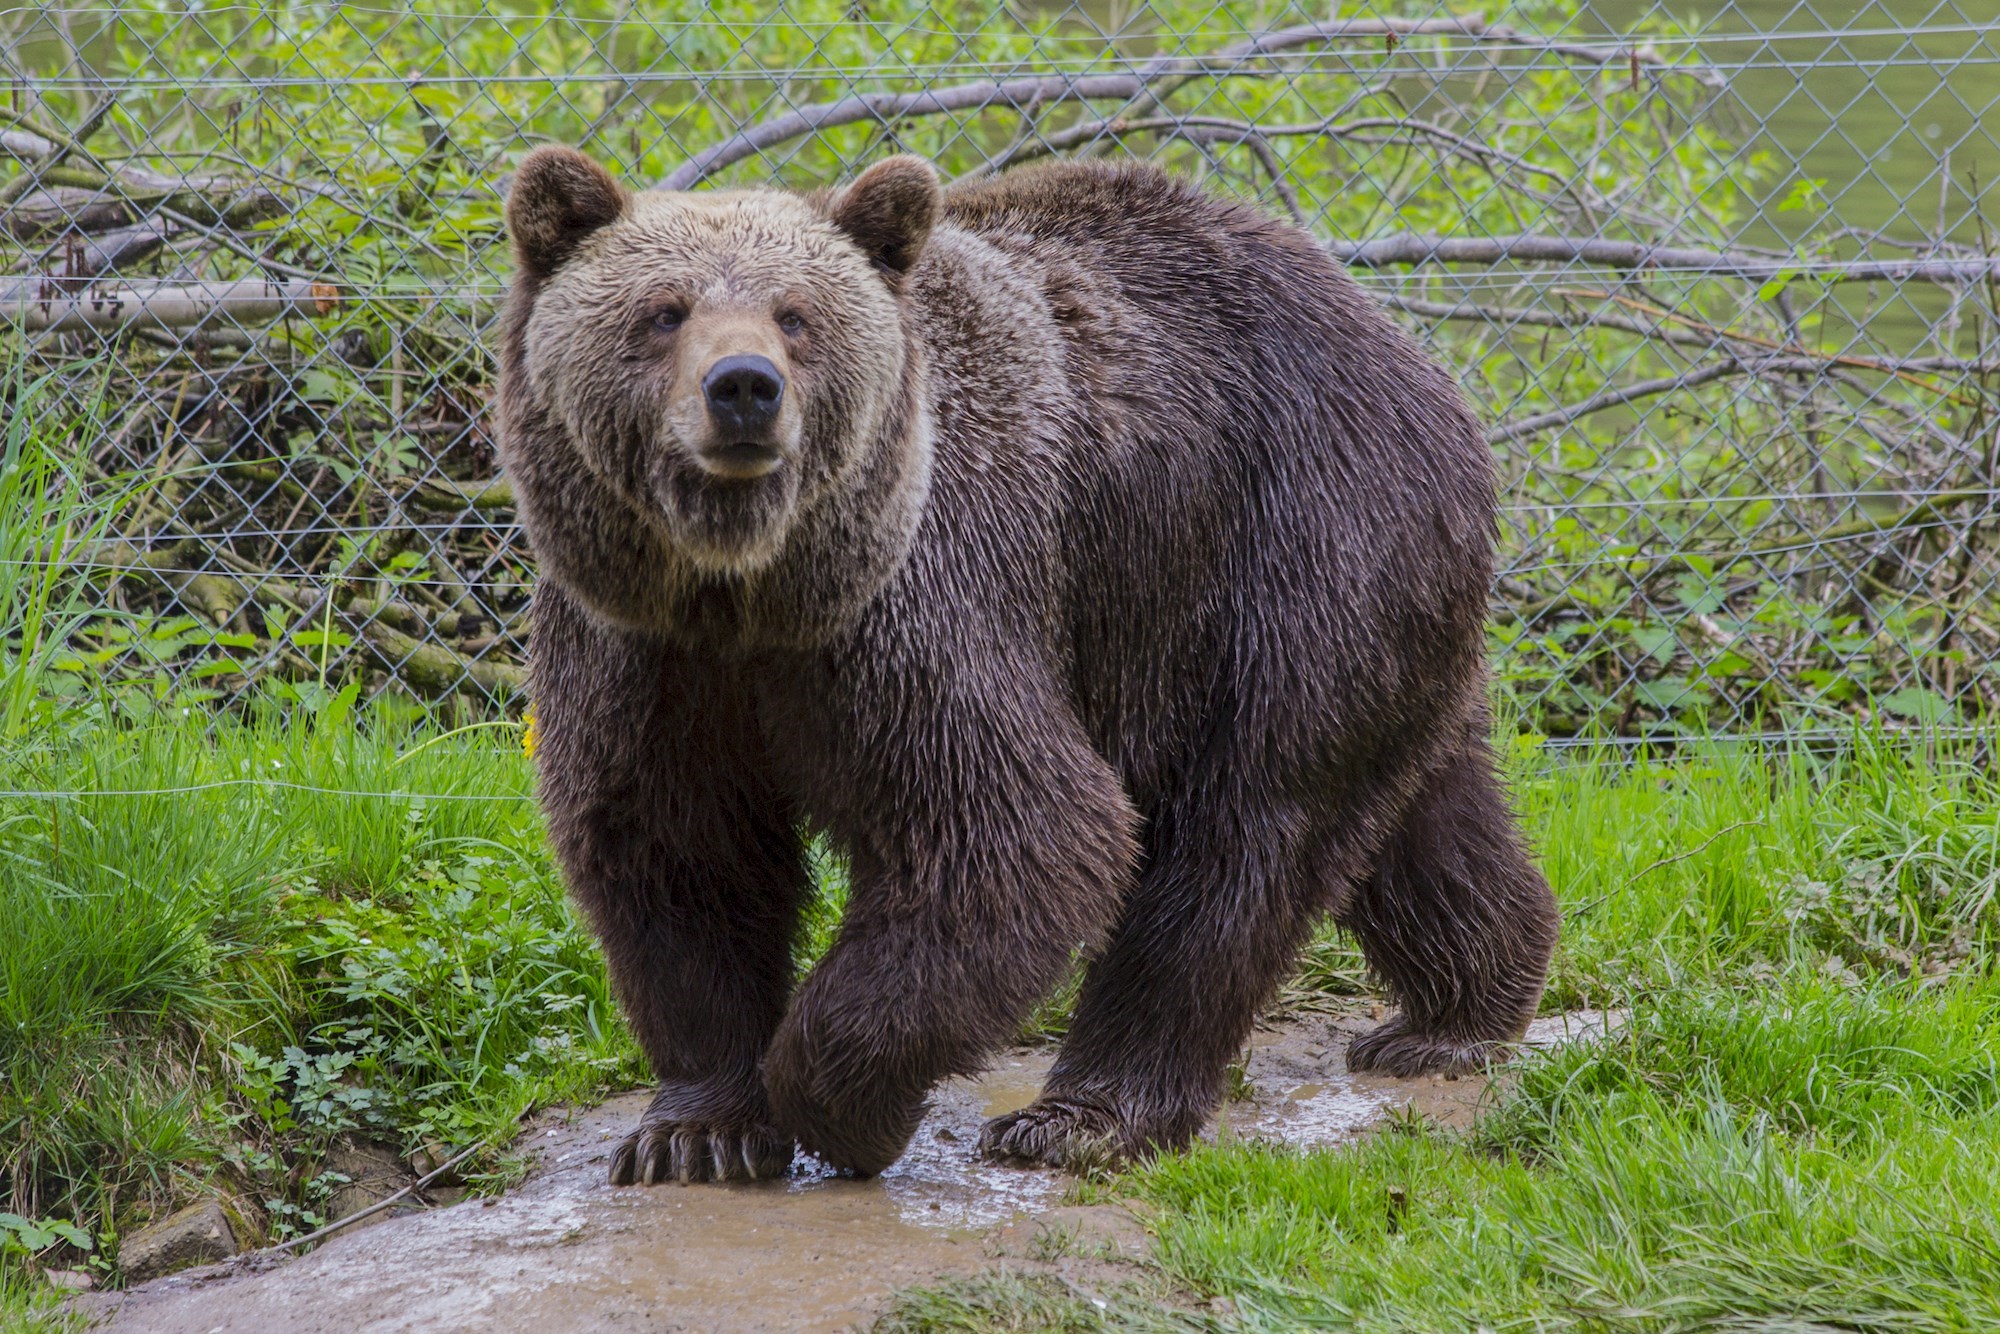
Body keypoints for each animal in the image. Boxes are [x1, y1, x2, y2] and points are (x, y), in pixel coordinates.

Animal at [500, 146, 1560, 1184]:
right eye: (664, 310)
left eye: (796, 315)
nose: (744, 388)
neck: (752, 589)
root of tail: (1405, 347)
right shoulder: (644, 650)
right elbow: (679, 856)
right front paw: (695, 1132)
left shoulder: (924, 602)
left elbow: (1017, 835)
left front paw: (844, 1108)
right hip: (1363, 600)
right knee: (1420, 807)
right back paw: (1458, 1013)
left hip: (1287, 542)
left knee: (1244, 825)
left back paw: (1085, 1115)